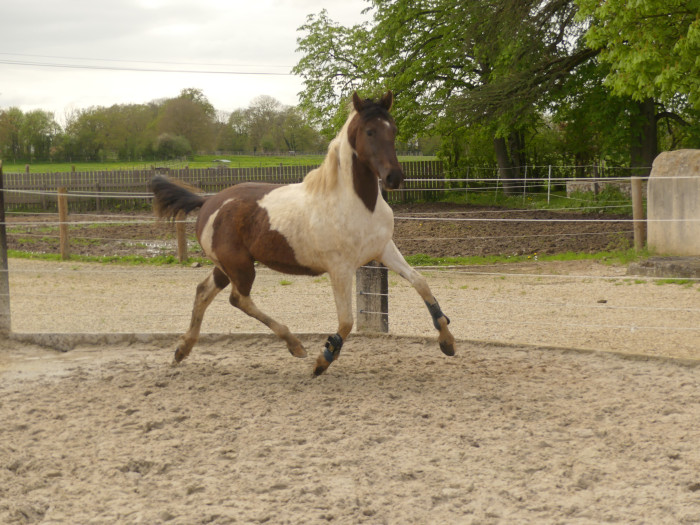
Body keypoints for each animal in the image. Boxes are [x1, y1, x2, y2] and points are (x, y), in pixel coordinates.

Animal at [150, 92, 456, 374]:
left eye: (393, 129)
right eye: (369, 131)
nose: (394, 178)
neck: (356, 203)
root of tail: (208, 201)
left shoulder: (383, 250)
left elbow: (420, 282)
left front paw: (447, 340)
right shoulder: (340, 268)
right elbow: (346, 321)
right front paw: (324, 358)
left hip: (226, 267)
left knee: (204, 291)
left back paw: (182, 349)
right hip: (240, 266)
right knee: (239, 299)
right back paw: (295, 344)